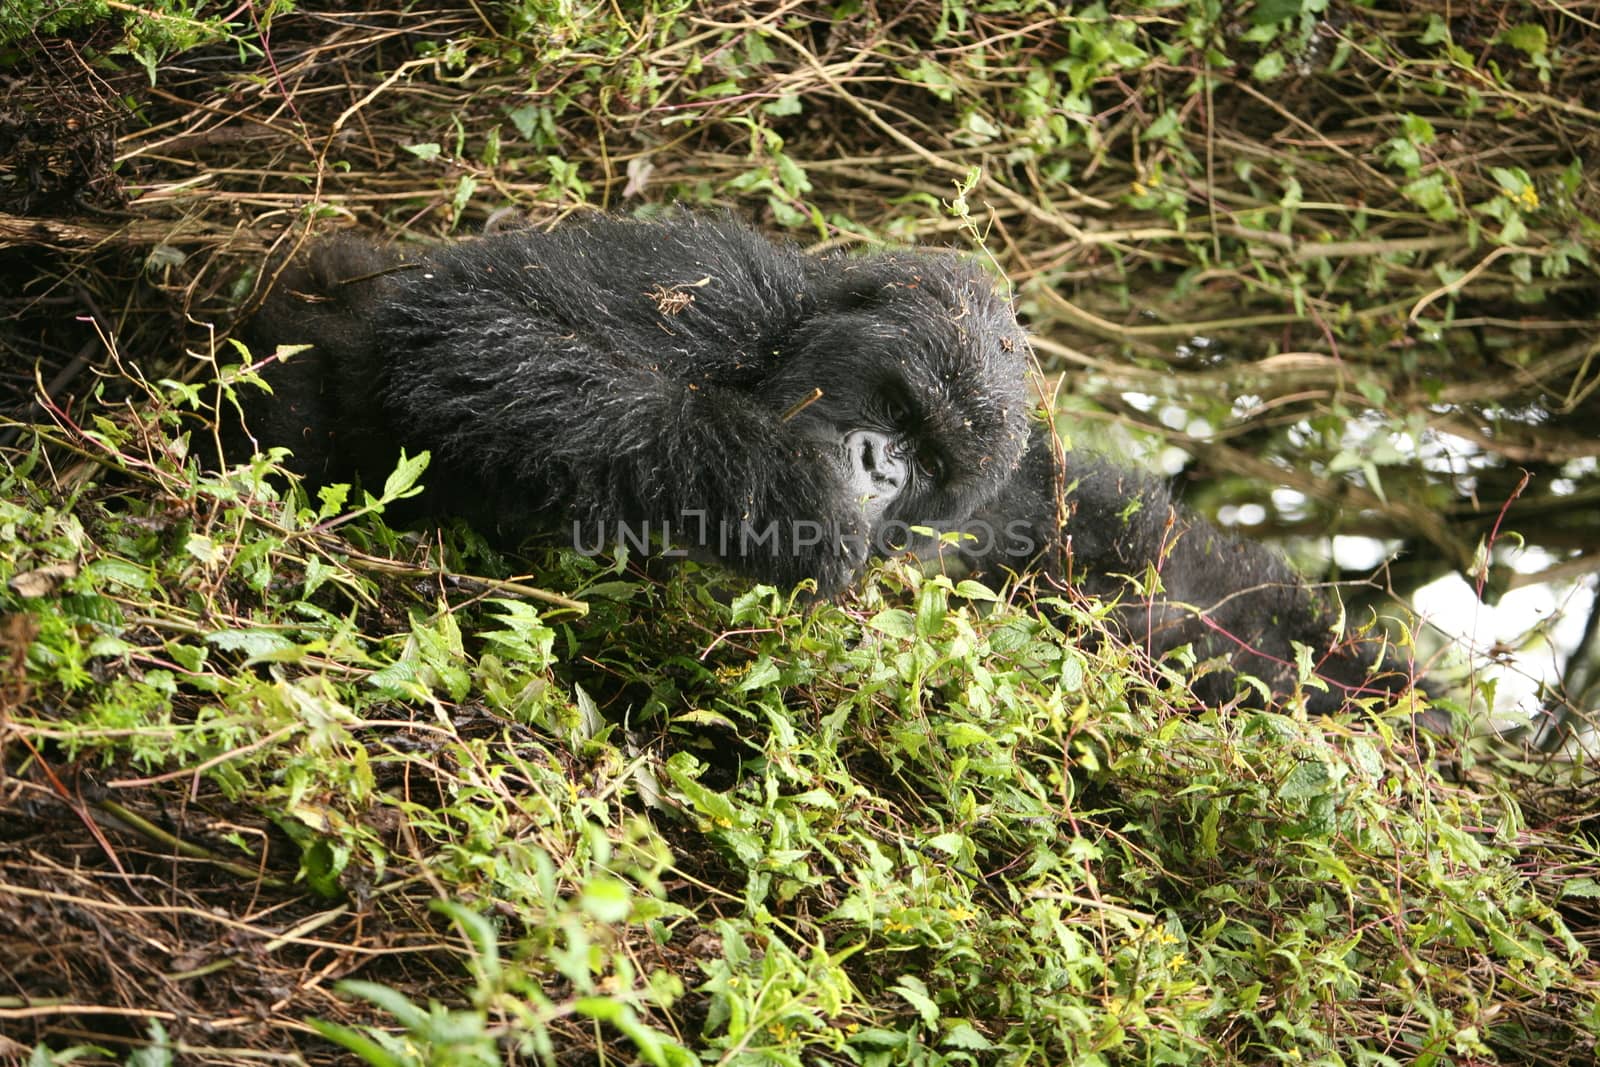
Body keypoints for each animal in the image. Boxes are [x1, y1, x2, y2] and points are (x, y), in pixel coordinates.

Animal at [236, 211, 1427, 716]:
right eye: (894, 404)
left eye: (929, 452)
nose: (875, 464)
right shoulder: (720, 282)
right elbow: (471, 324)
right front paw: (777, 486)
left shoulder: (1006, 503)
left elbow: (1177, 598)